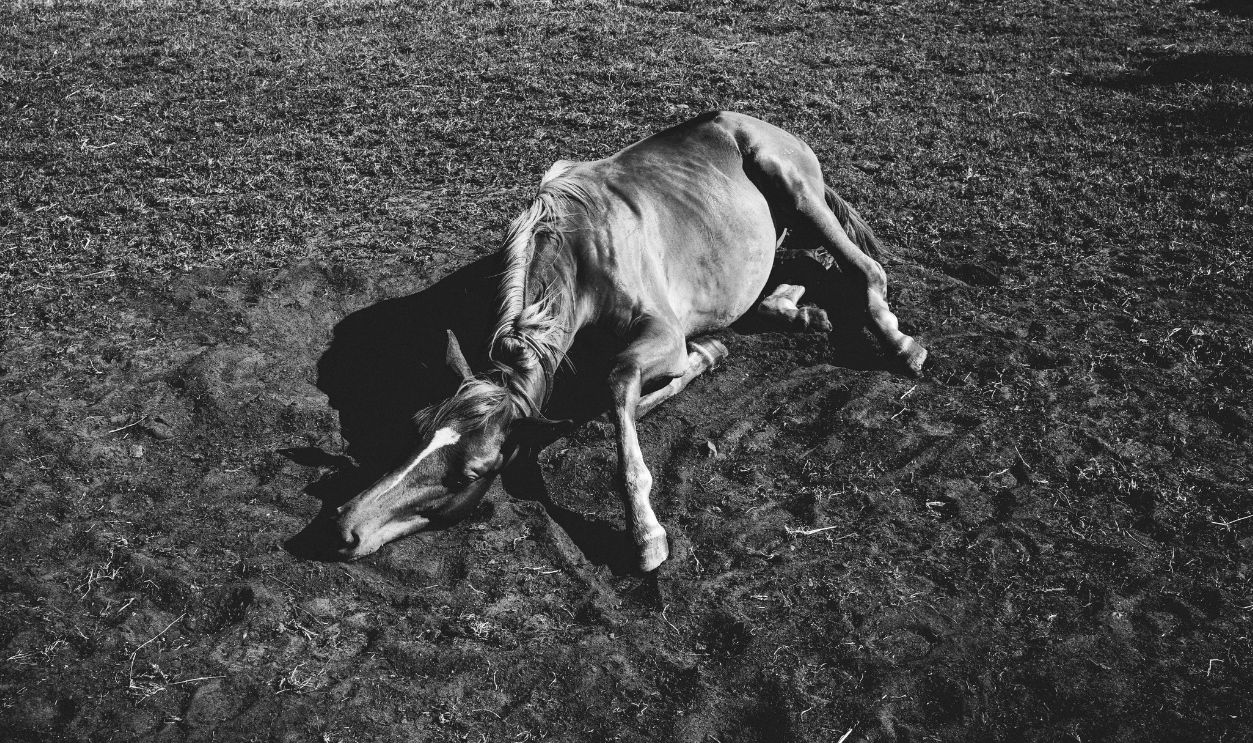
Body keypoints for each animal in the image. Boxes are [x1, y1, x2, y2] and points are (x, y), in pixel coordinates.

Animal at [332, 111, 927, 571]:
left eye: (472, 471)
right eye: (417, 430)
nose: (345, 528)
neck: (580, 252)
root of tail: (761, 124)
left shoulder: (662, 333)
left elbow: (619, 386)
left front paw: (645, 534)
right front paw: (705, 359)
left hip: (798, 194)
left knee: (864, 269)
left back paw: (901, 344)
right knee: (797, 273)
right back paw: (800, 313)